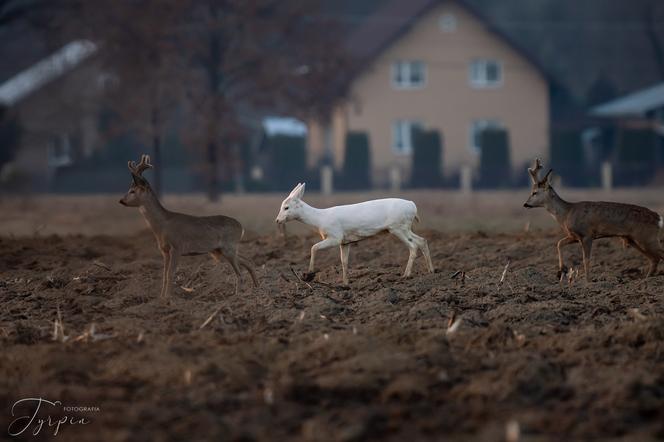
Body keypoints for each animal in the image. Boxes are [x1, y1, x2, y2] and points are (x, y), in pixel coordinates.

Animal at [118, 155, 258, 296]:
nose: (121, 200)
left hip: (229, 246)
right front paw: (161, 298)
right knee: (248, 261)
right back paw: (255, 288)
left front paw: (168, 298)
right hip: (220, 250)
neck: (163, 225)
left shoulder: (177, 247)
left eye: (132, 191)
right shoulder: (164, 251)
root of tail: (241, 227)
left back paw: (237, 295)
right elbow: (164, 275)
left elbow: (170, 274)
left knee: (239, 273)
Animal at [274, 182, 434, 284]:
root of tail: (413, 206)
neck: (320, 219)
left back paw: (406, 276)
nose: (277, 220)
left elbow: (313, 247)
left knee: (413, 246)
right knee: (422, 240)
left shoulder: (335, 236)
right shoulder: (345, 241)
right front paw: (345, 283)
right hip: (404, 227)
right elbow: (344, 261)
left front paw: (309, 274)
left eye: (286, 207)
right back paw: (431, 271)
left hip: (398, 227)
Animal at [528, 159, 660, 280]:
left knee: (658, 255)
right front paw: (561, 270)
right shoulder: (574, 236)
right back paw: (647, 278)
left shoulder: (586, 234)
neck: (566, 213)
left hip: (646, 237)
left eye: (534, 192)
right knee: (654, 258)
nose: (525, 204)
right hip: (634, 239)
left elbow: (586, 259)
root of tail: (657, 217)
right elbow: (559, 243)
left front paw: (587, 281)